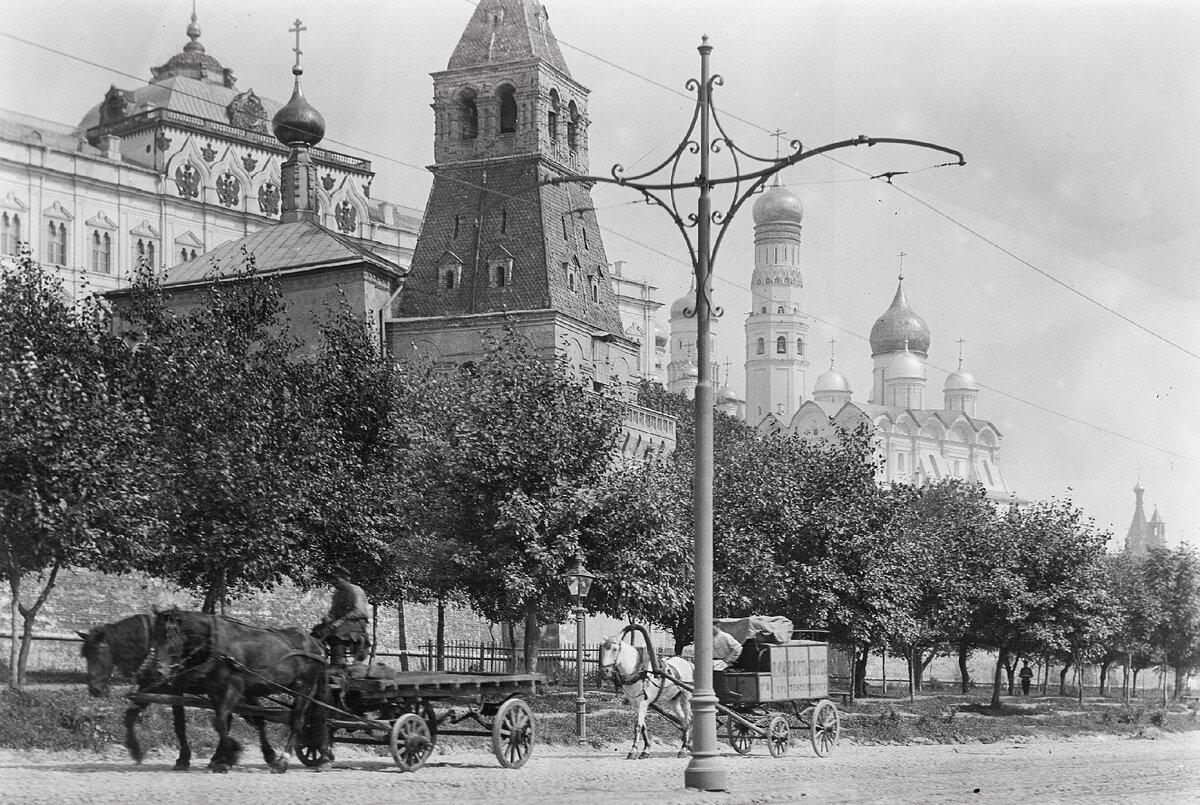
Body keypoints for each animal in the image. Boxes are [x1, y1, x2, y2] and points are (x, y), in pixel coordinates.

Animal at [79, 619, 292, 772]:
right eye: (85, 654)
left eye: (99, 653)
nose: (94, 689)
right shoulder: (153, 688)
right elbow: (131, 716)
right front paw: (136, 750)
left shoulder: (175, 689)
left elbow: (180, 725)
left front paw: (183, 759)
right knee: (238, 719)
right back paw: (223, 757)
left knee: (256, 719)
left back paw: (268, 756)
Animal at [153, 611, 338, 772]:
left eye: (170, 633)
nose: (160, 671)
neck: (215, 644)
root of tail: (317, 645)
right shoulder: (215, 691)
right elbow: (222, 722)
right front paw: (222, 758)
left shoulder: (234, 688)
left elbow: (221, 721)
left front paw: (228, 756)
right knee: (320, 718)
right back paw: (324, 757)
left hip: (304, 687)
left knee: (297, 722)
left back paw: (282, 762)